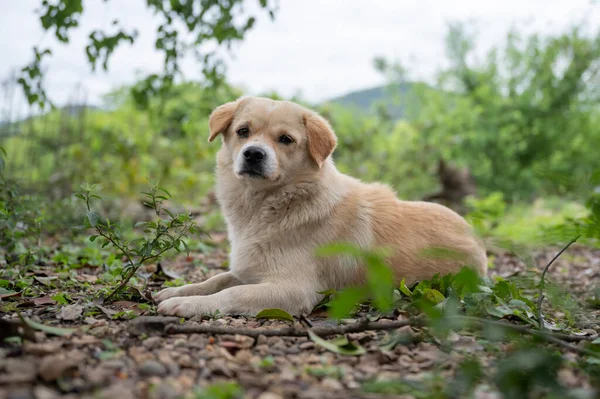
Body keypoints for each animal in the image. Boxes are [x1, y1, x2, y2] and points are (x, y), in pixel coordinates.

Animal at [156, 95, 488, 318]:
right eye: (242, 131)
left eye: (286, 139)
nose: (253, 154)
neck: (270, 205)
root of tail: (474, 236)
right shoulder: (248, 269)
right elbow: (217, 280)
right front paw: (178, 290)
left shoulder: (293, 290)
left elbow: (231, 294)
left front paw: (188, 304)